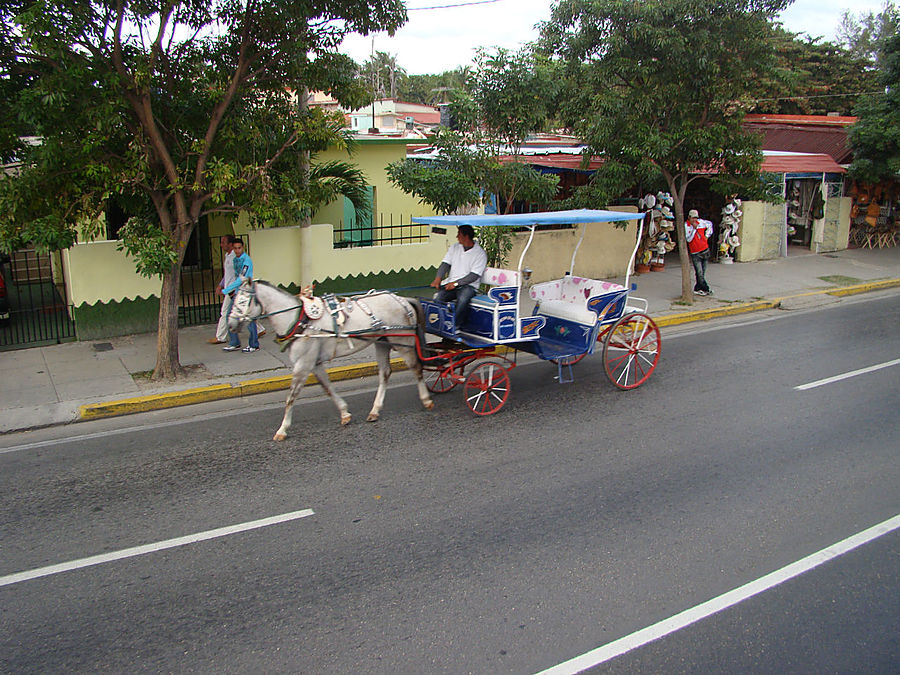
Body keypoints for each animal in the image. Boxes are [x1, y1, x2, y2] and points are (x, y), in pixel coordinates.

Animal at [227, 280, 434, 444]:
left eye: (243, 301)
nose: (230, 325)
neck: (300, 321)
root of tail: (402, 300)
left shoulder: (303, 364)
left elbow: (291, 396)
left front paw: (282, 429)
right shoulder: (314, 363)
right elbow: (327, 388)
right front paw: (344, 413)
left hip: (402, 342)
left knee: (416, 368)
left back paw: (426, 399)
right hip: (382, 342)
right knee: (385, 373)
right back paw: (375, 410)